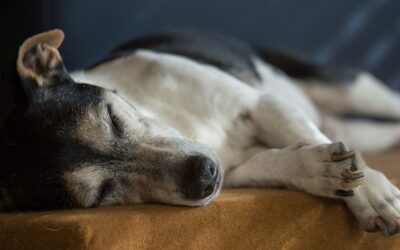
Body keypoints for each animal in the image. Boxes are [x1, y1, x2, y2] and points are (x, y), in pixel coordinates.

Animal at [0, 28, 400, 236]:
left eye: (112, 117)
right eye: (101, 194)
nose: (204, 175)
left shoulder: (261, 104)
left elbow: (312, 137)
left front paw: (370, 193)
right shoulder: (236, 173)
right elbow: (276, 163)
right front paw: (319, 170)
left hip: (346, 85)